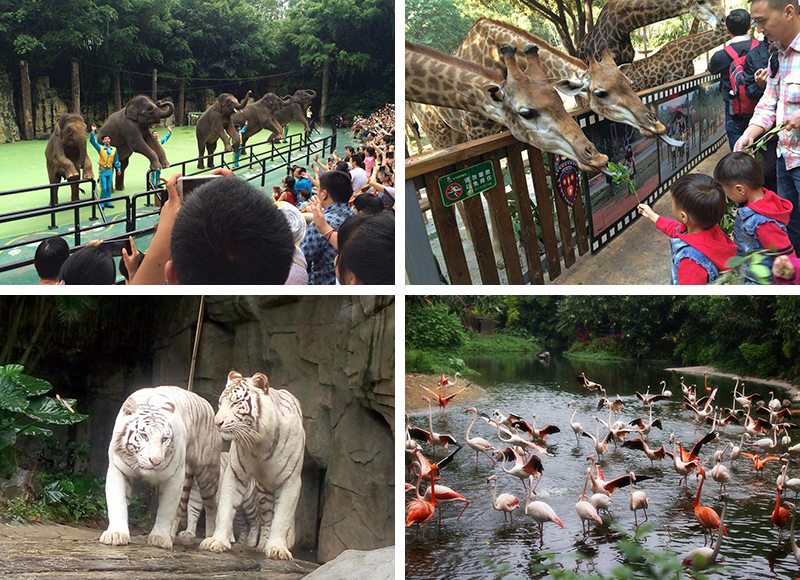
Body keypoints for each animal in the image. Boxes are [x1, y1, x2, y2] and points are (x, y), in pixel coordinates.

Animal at [99, 388, 222, 552]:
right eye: (144, 435)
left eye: (164, 439)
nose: (156, 461)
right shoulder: (118, 470)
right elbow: (117, 502)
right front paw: (116, 534)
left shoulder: (174, 477)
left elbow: (166, 509)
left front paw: (160, 538)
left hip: (207, 473)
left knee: (211, 506)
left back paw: (209, 539)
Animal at [200, 372, 306, 560]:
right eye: (221, 403)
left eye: (235, 403)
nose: (217, 422)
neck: (259, 443)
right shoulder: (235, 473)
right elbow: (225, 508)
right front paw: (217, 541)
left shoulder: (291, 480)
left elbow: (282, 518)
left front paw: (277, 549)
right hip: (263, 493)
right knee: (266, 519)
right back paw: (262, 545)